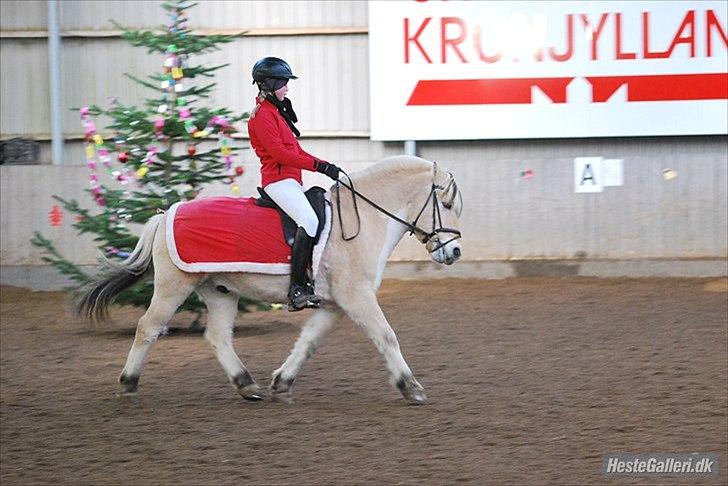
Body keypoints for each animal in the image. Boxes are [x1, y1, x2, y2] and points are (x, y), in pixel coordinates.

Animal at [77, 155, 464, 402]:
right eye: (445, 204)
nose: (455, 252)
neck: (365, 216)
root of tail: (167, 212)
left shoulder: (334, 304)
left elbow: (308, 342)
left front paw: (282, 382)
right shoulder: (357, 296)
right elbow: (387, 336)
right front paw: (411, 387)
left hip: (220, 291)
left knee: (218, 336)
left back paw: (247, 385)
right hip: (174, 286)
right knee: (148, 327)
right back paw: (128, 383)